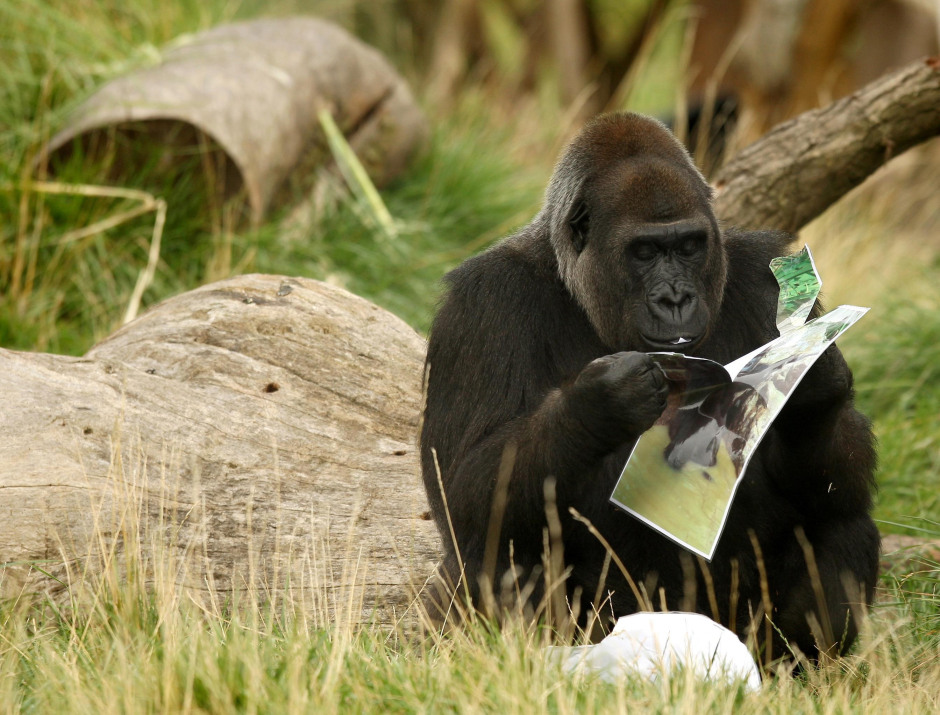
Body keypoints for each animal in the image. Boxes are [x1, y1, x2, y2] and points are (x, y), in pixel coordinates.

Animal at [420, 113, 880, 664]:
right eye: (643, 252)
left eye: (688, 246)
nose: (675, 299)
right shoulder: (482, 303)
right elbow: (466, 494)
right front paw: (598, 404)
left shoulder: (759, 272)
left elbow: (837, 476)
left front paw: (811, 390)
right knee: (507, 548)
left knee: (839, 516)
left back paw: (799, 666)